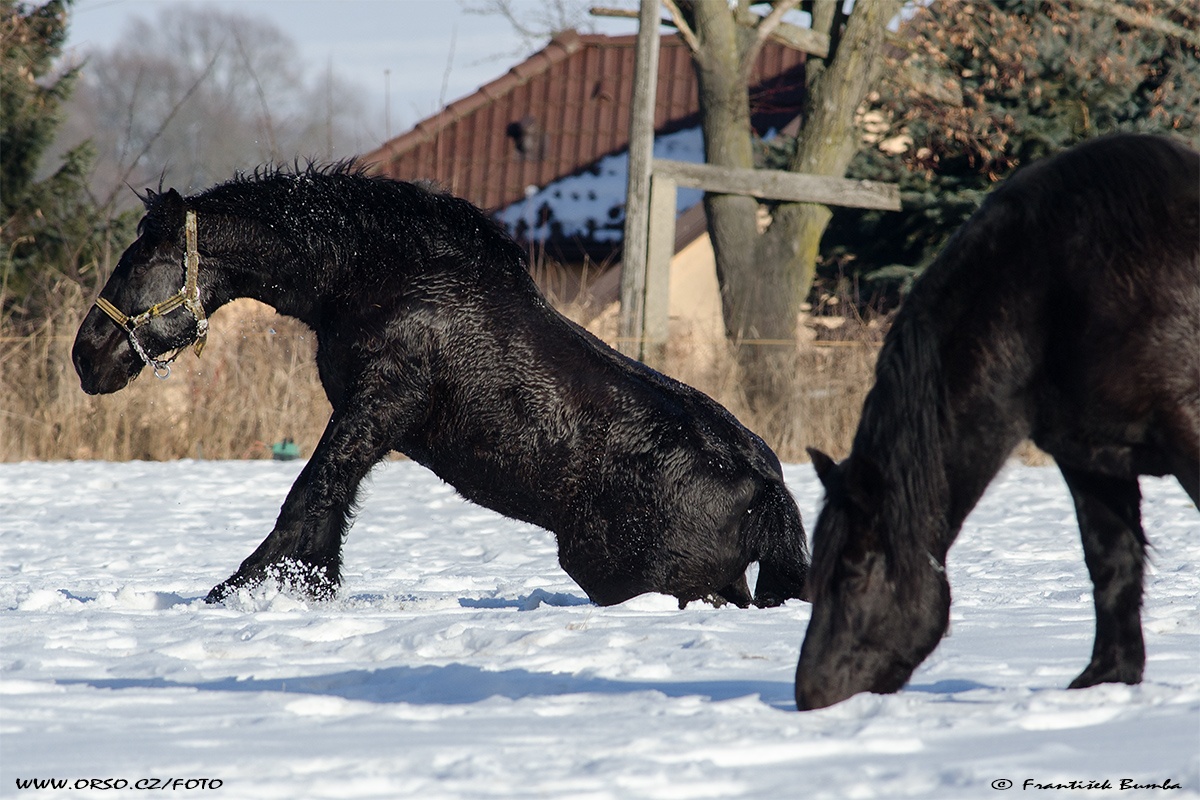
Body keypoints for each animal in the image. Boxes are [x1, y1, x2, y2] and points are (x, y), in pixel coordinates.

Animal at [70, 165, 811, 609]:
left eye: (141, 260)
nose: (85, 356)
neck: (375, 273)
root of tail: (766, 486)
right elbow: (329, 498)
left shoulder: (383, 400)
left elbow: (313, 489)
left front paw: (247, 589)